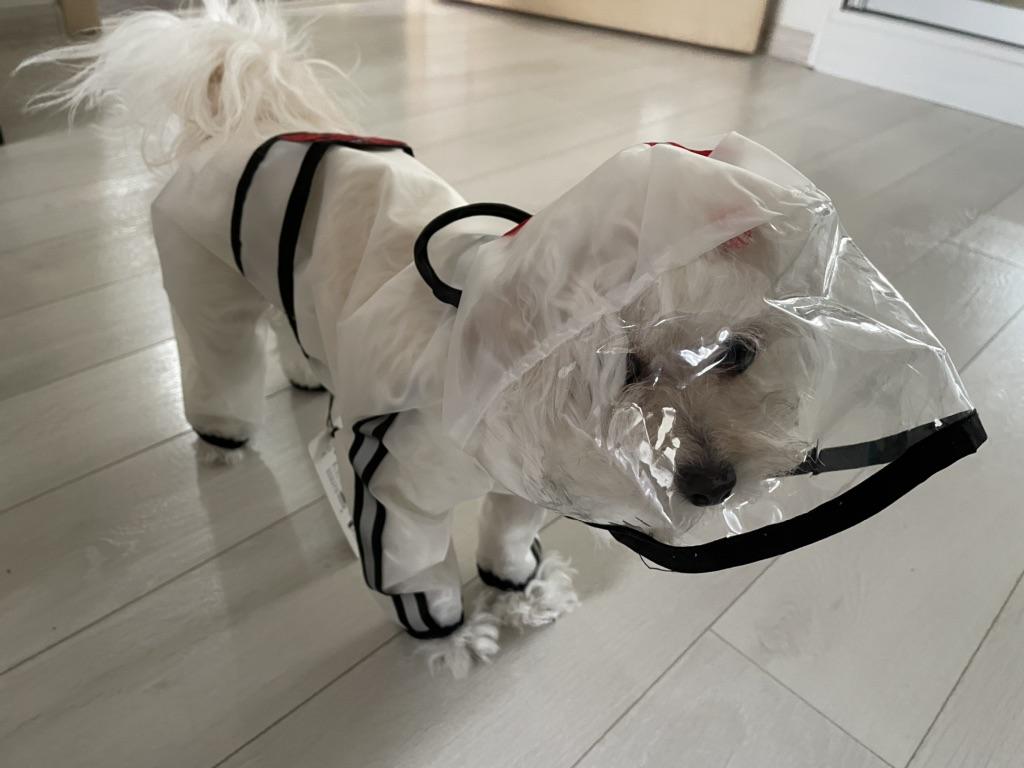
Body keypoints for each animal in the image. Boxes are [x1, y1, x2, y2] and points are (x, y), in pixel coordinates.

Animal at [23, 0, 813, 676]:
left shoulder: (519, 487)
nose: (714, 485)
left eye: (738, 353)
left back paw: (308, 372)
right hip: (205, 288)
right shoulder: (396, 488)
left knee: (287, 319)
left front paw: (523, 591)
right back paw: (222, 438)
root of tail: (249, 121)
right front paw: (456, 633)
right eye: (625, 369)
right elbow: (418, 571)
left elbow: (506, 539)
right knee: (218, 357)